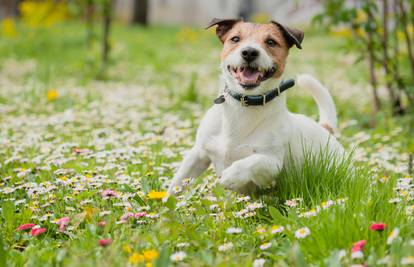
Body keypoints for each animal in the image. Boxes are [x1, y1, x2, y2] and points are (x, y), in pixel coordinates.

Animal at [165, 18, 342, 198]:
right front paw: (166, 203)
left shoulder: (273, 163)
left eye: (271, 42)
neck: (244, 105)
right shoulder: (198, 154)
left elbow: (254, 161)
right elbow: (177, 183)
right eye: (235, 39)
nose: (249, 52)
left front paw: (232, 175)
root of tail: (325, 129)